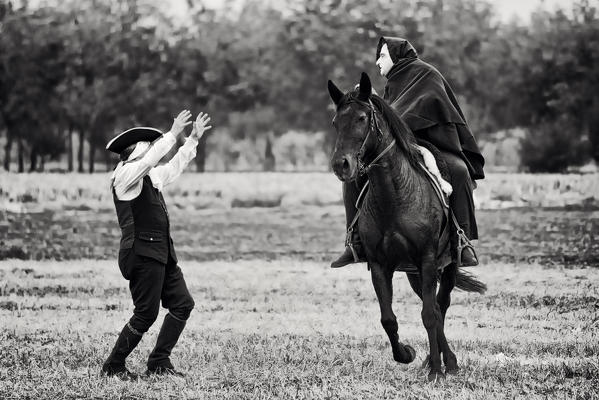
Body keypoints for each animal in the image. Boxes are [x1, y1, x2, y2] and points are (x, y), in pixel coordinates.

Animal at [326, 72, 486, 382]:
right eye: (336, 122)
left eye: (362, 118)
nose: (342, 165)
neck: (394, 195)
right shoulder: (380, 264)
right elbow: (388, 318)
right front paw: (407, 354)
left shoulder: (427, 259)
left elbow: (429, 314)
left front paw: (435, 370)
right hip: (414, 273)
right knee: (432, 305)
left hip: (445, 265)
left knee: (439, 306)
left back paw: (447, 363)